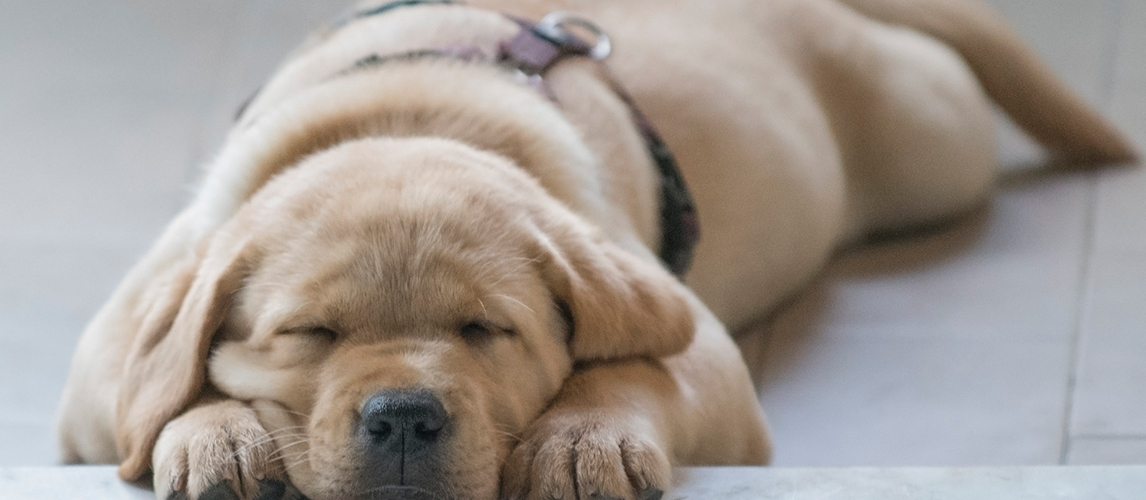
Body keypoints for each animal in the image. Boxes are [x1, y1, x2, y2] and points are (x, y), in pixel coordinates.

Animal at [55, 0, 1136, 497]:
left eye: (486, 330)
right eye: (310, 334)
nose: (403, 415)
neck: (407, 117)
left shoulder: (703, 348)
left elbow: (641, 366)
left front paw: (584, 437)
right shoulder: (101, 359)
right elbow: (154, 381)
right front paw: (215, 434)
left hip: (928, 135)